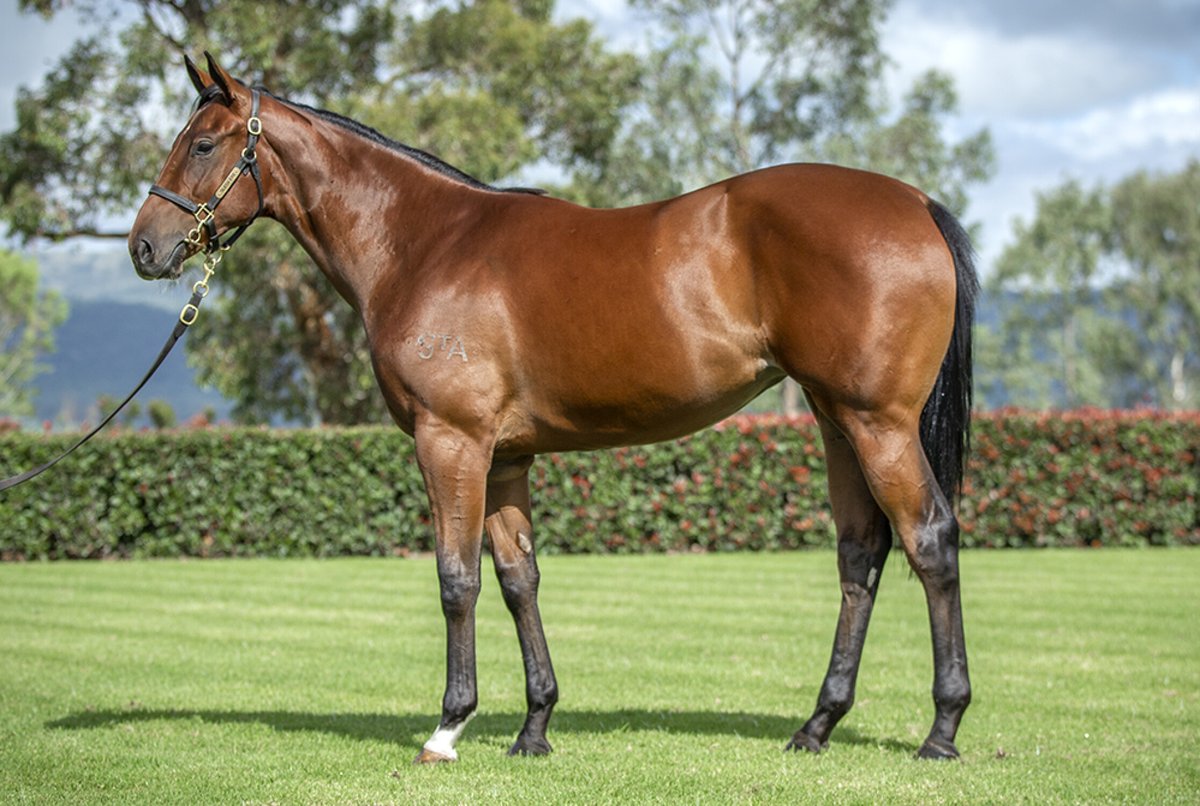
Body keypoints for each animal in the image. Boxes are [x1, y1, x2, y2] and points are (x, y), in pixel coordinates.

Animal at [130, 53, 977, 764]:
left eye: (202, 145)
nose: (144, 246)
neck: (425, 244)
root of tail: (916, 203)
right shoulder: (506, 457)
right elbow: (518, 580)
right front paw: (534, 727)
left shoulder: (451, 442)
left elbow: (456, 579)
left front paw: (449, 727)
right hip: (838, 422)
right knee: (861, 555)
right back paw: (817, 725)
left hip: (878, 424)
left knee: (929, 540)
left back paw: (942, 728)